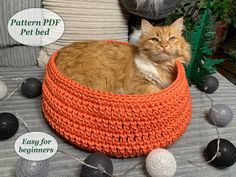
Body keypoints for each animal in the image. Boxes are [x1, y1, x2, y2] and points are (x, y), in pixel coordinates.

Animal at [55, 18, 190, 94]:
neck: (160, 66)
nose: (164, 46)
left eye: (171, 39)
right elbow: (157, 91)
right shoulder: (138, 83)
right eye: (155, 40)